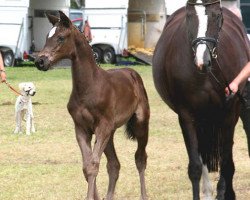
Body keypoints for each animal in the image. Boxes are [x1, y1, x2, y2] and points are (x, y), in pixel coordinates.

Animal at [34, 11, 149, 200]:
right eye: (46, 37)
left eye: (61, 38)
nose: (40, 61)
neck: (89, 87)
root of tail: (132, 73)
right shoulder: (82, 129)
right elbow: (86, 166)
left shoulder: (102, 127)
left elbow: (93, 165)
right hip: (110, 133)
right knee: (114, 164)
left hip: (140, 124)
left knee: (140, 158)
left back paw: (144, 195)